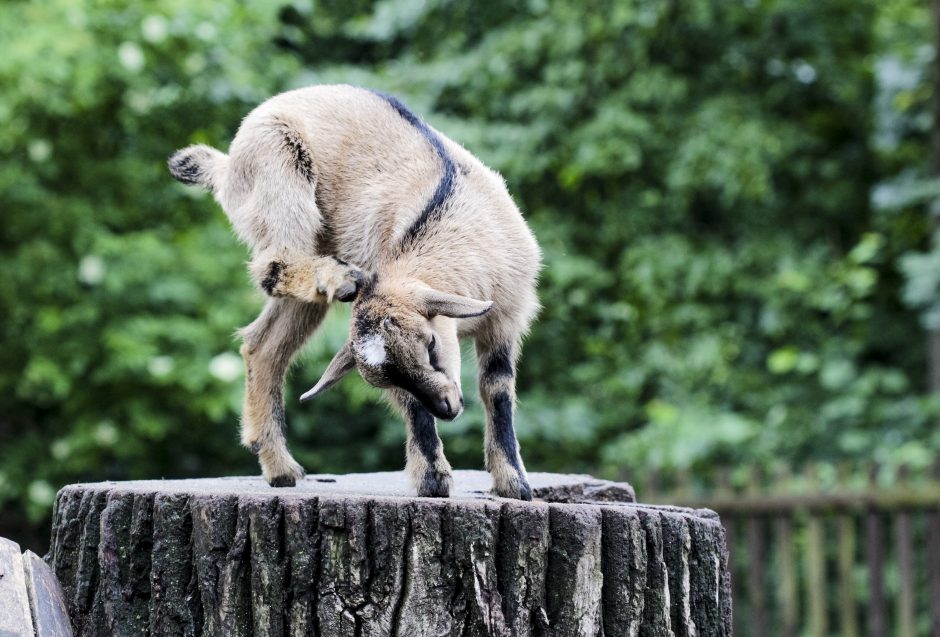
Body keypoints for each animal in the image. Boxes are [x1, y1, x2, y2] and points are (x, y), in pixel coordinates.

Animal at [165, 84, 540, 500]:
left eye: (431, 345)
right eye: (388, 379)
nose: (446, 408)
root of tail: (226, 165)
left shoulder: (507, 317)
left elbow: (497, 389)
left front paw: (514, 483)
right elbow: (414, 406)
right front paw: (432, 478)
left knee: (262, 345)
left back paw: (279, 468)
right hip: (277, 169)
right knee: (273, 266)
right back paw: (338, 278)